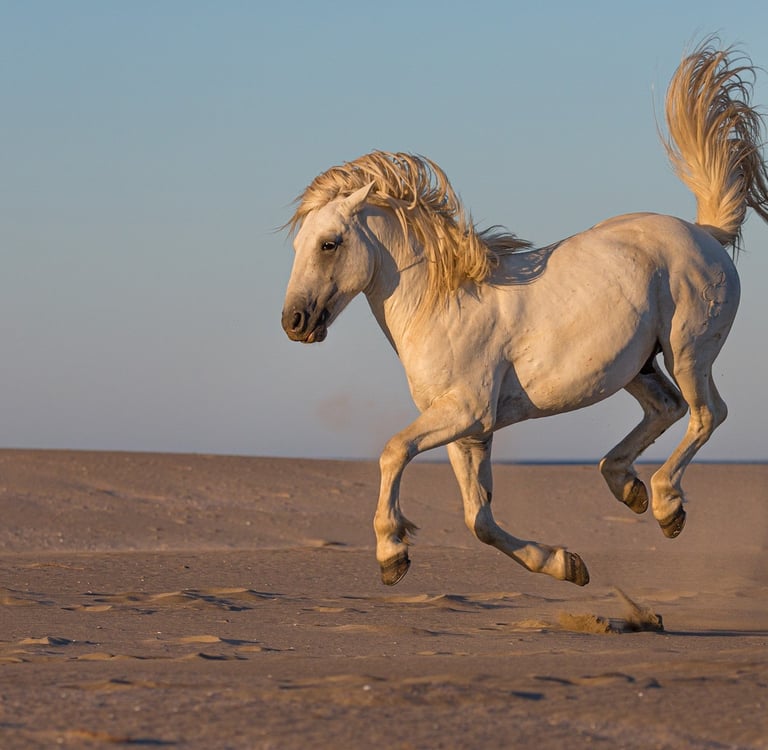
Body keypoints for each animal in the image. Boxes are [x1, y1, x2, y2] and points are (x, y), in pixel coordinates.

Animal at [281, 39, 768, 587]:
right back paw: (628, 487)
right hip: (637, 366)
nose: (293, 322)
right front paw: (566, 564)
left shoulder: (465, 411)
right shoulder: (469, 432)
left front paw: (391, 552)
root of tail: (705, 233)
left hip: (688, 350)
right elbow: (479, 520)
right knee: (669, 408)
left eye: (329, 243)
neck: (444, 306)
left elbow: (394, 451)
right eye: (298, 244)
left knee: (708, 413)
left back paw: (666, 504)